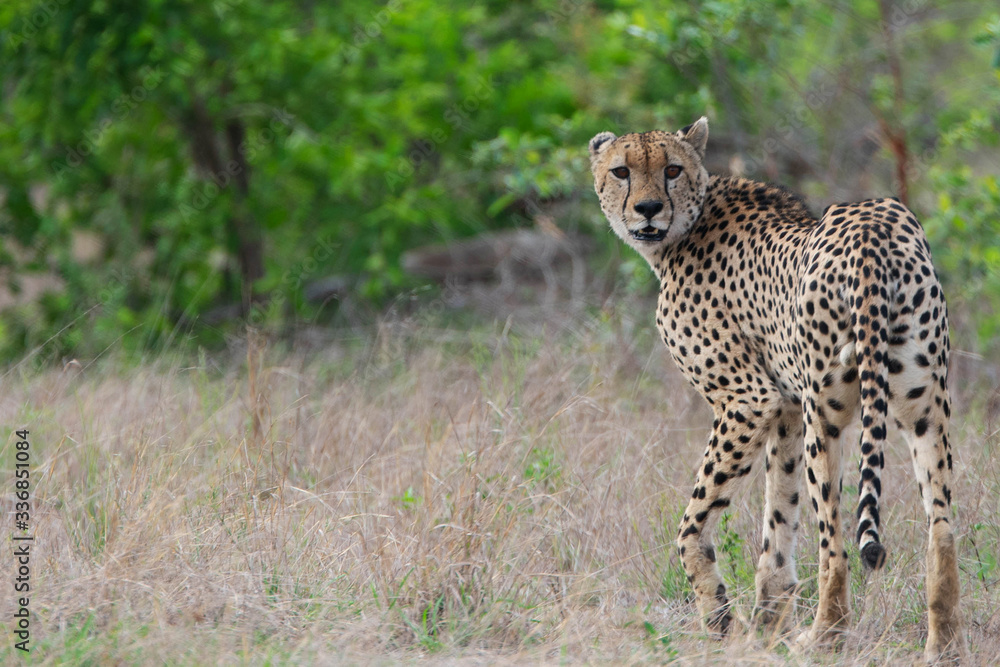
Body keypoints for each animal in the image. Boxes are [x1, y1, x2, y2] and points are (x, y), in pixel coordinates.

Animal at [588, 117, 966, 663]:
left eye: (671, 169)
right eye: (621, 171)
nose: (648, 208)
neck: (689, 223)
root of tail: (875, 224)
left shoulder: (749, 401)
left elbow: (693, 523)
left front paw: (722, 620)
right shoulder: (784, 409)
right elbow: (778, 514)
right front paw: (768, 622)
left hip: (825, 416)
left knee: (835, 543)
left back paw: (824, 638)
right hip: (922, 407)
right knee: (942, 530)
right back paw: (943, 646)